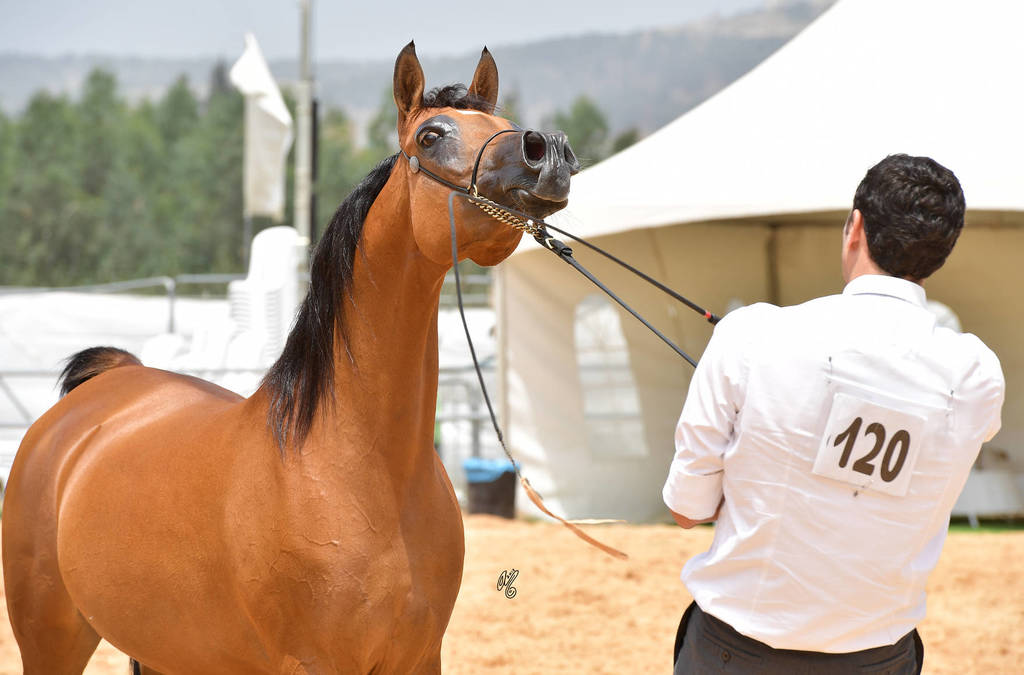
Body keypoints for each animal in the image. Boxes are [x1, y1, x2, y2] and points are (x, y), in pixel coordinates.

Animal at [2, 42, 579, 674]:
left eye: (505, 123)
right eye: (430, 136)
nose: (547, 153)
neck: (357, 466)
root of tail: (103, 389)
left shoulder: (421, 658)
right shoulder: (311, 662)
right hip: (51, 639)